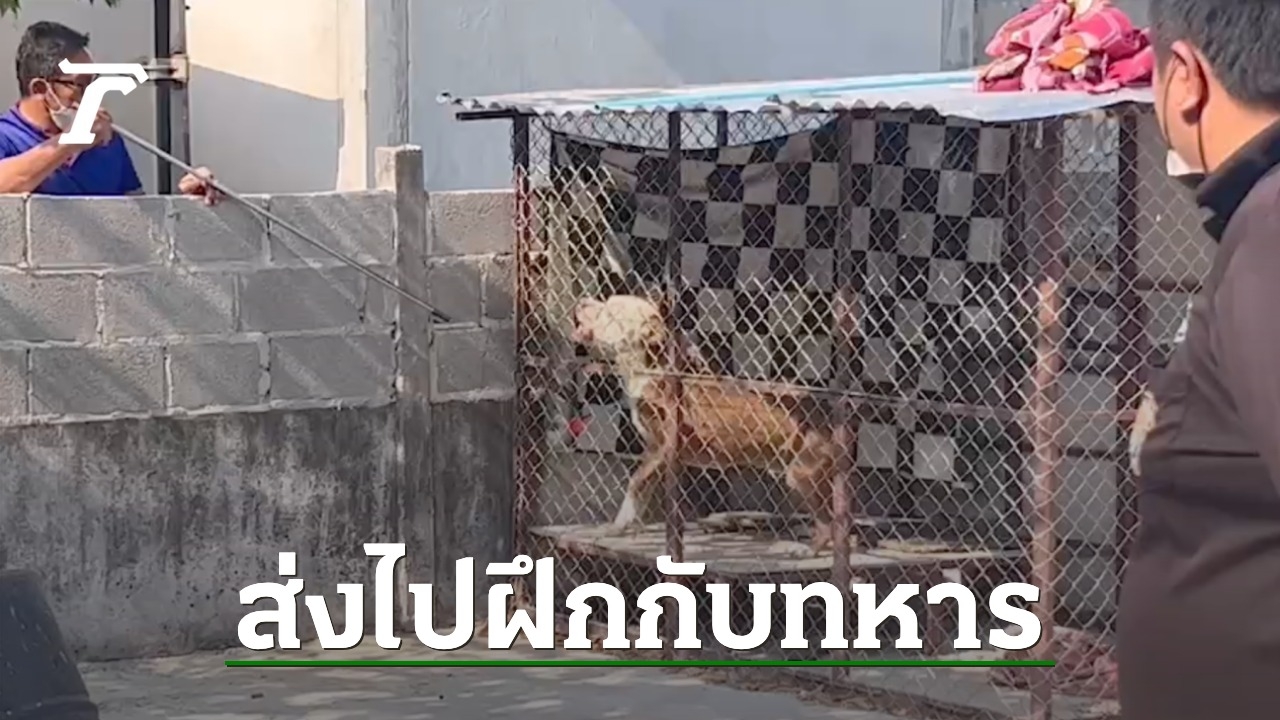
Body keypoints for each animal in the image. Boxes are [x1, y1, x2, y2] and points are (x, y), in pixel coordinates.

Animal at [569, 294, 850, 554]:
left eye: (610, 311)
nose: (581, 300)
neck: (652, 368)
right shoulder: (656, 454)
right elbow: (641, 491)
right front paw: (625, 524)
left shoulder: (661, 447)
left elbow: (635, 481)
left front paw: (620, 523)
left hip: (801, 474)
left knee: (827, 523)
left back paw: (808, 549)